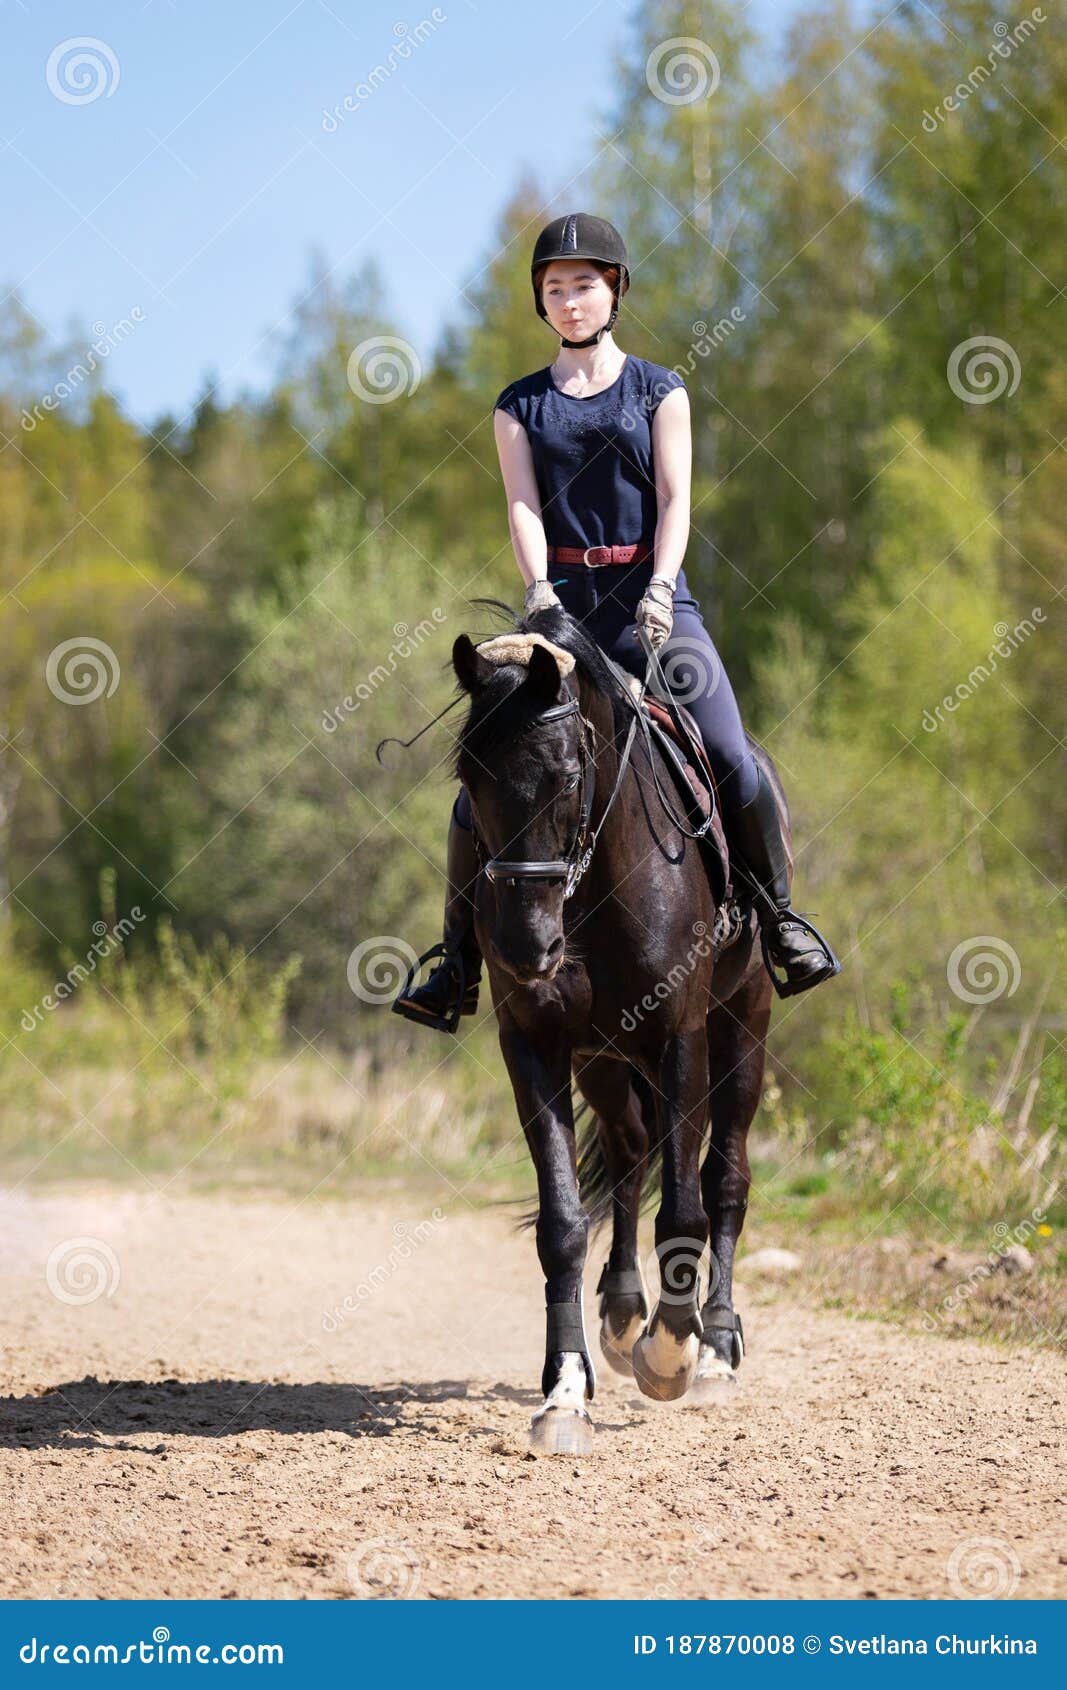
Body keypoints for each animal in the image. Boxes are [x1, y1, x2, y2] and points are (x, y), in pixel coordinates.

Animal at [449, 605, 784, 1453]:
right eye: (467, 780)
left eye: (567, 777)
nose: (526, 947)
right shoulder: (533, 1044)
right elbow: (563, 1224)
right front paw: (564, 1395)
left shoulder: (680, 1037)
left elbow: (686, 1208)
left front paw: (671, 1352)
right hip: (601, 1058)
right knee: (632, 1152)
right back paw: (622, 1313)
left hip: (742, 1025)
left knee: (723, 1178)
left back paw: (713, 1352)